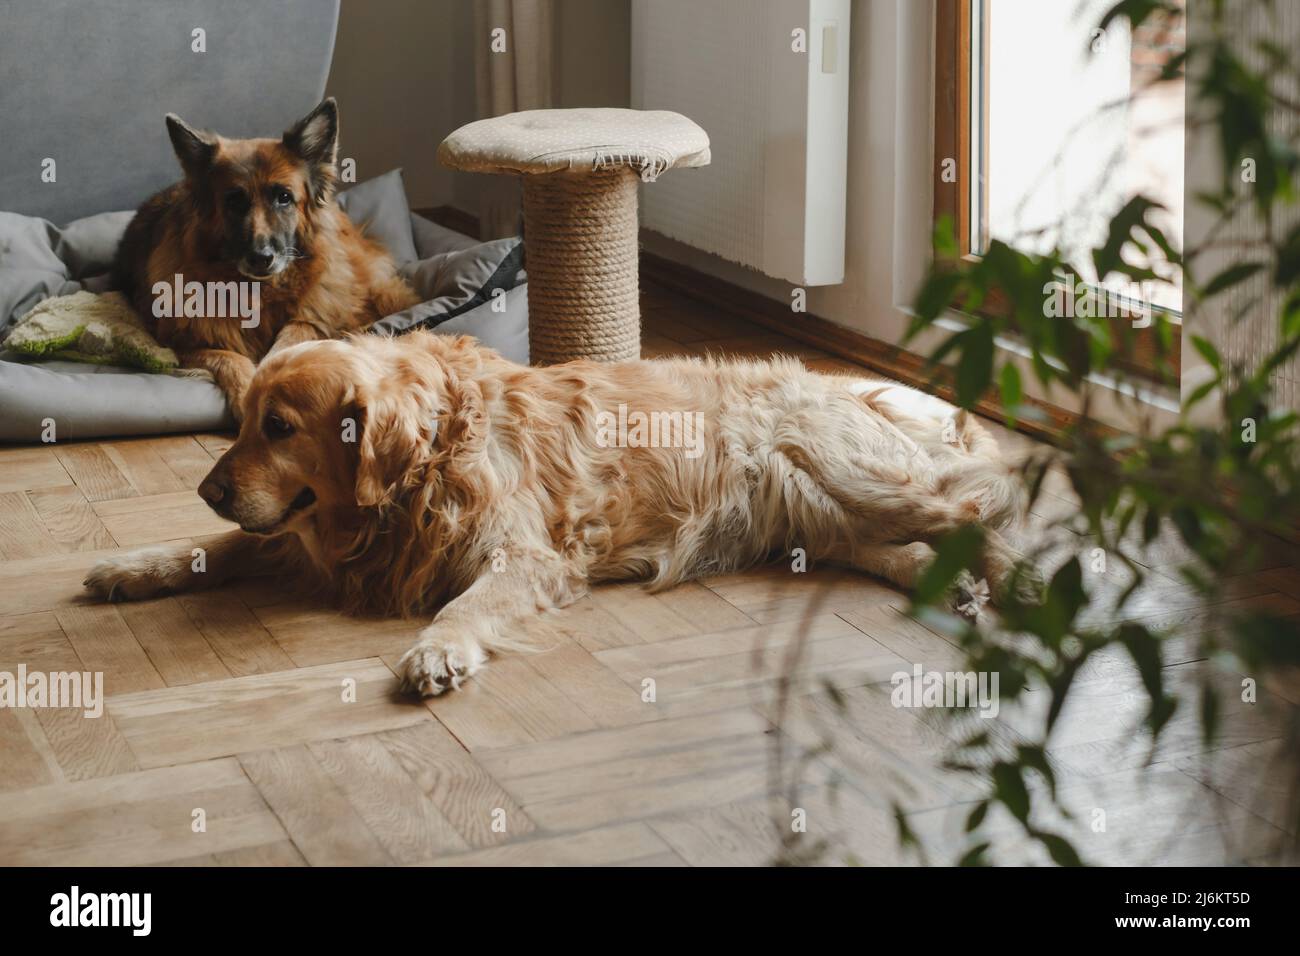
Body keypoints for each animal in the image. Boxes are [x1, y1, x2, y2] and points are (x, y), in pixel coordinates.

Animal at [83, 335, 1034, 697]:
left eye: (280, 428)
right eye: (242, 420)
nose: (210, 486)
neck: (428, 461)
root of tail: (861, 387)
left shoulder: (524, 557)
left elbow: (463, 604)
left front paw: (435, 652)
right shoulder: (308, 541)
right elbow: (215, 548)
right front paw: (133, 566)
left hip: (851, 473)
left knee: (982, 510)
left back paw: (1024, 586)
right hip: (822, 516)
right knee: (909, 546)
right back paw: (947, 587)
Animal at [112, 96, 418, 418]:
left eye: (284, 197)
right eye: (234, 202)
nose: (261, 258)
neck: (260, 292)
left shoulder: (314, 320)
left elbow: (293, 336)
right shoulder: (181, 344)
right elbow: (229, 357)